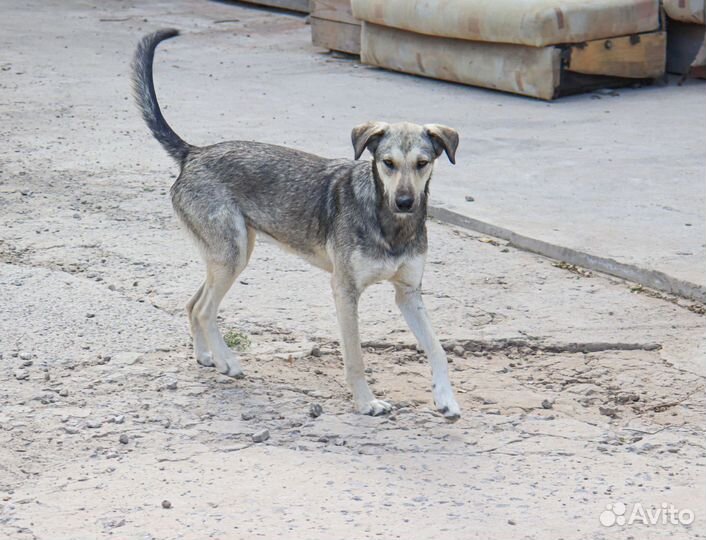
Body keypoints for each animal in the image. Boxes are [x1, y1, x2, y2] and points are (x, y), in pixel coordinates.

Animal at [133, 27, 462, 420]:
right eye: (388, 163)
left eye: (423, 163)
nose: (405, 202)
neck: (389, 224)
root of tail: (193, 152)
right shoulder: (345, 290)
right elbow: (355, 357)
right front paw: (365, 402)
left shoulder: (408, 293)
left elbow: (437, 348)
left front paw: (446, 398)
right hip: (231, 255)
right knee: (203, 309)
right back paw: (228, 362)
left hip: (230, 254)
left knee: (191, 304)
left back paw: (206, 356)